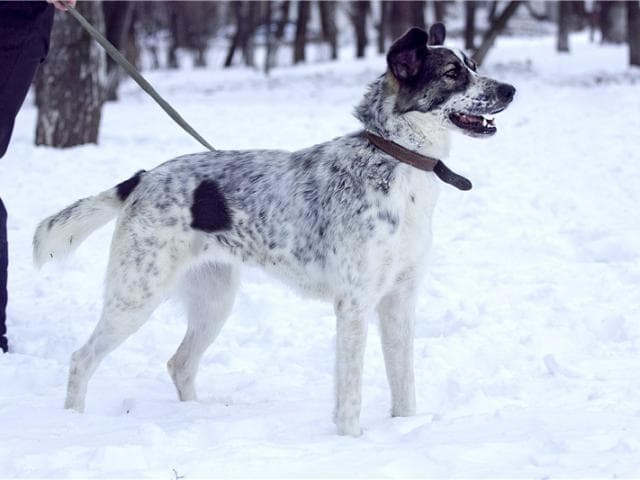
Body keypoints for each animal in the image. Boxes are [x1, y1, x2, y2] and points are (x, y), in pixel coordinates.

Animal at [33, 27, 516, 438]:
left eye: (473, 64)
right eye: (453, 73)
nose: (511, 90)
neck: (397, 161)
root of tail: (143, 178)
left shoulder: (399, 300)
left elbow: (404, 385)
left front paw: (405, 429)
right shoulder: (355, 305)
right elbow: (350, 394)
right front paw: (351, 442)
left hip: (214, 301)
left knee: (179, 364)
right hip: (136, 297)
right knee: (82, 359)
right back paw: (73, 421)